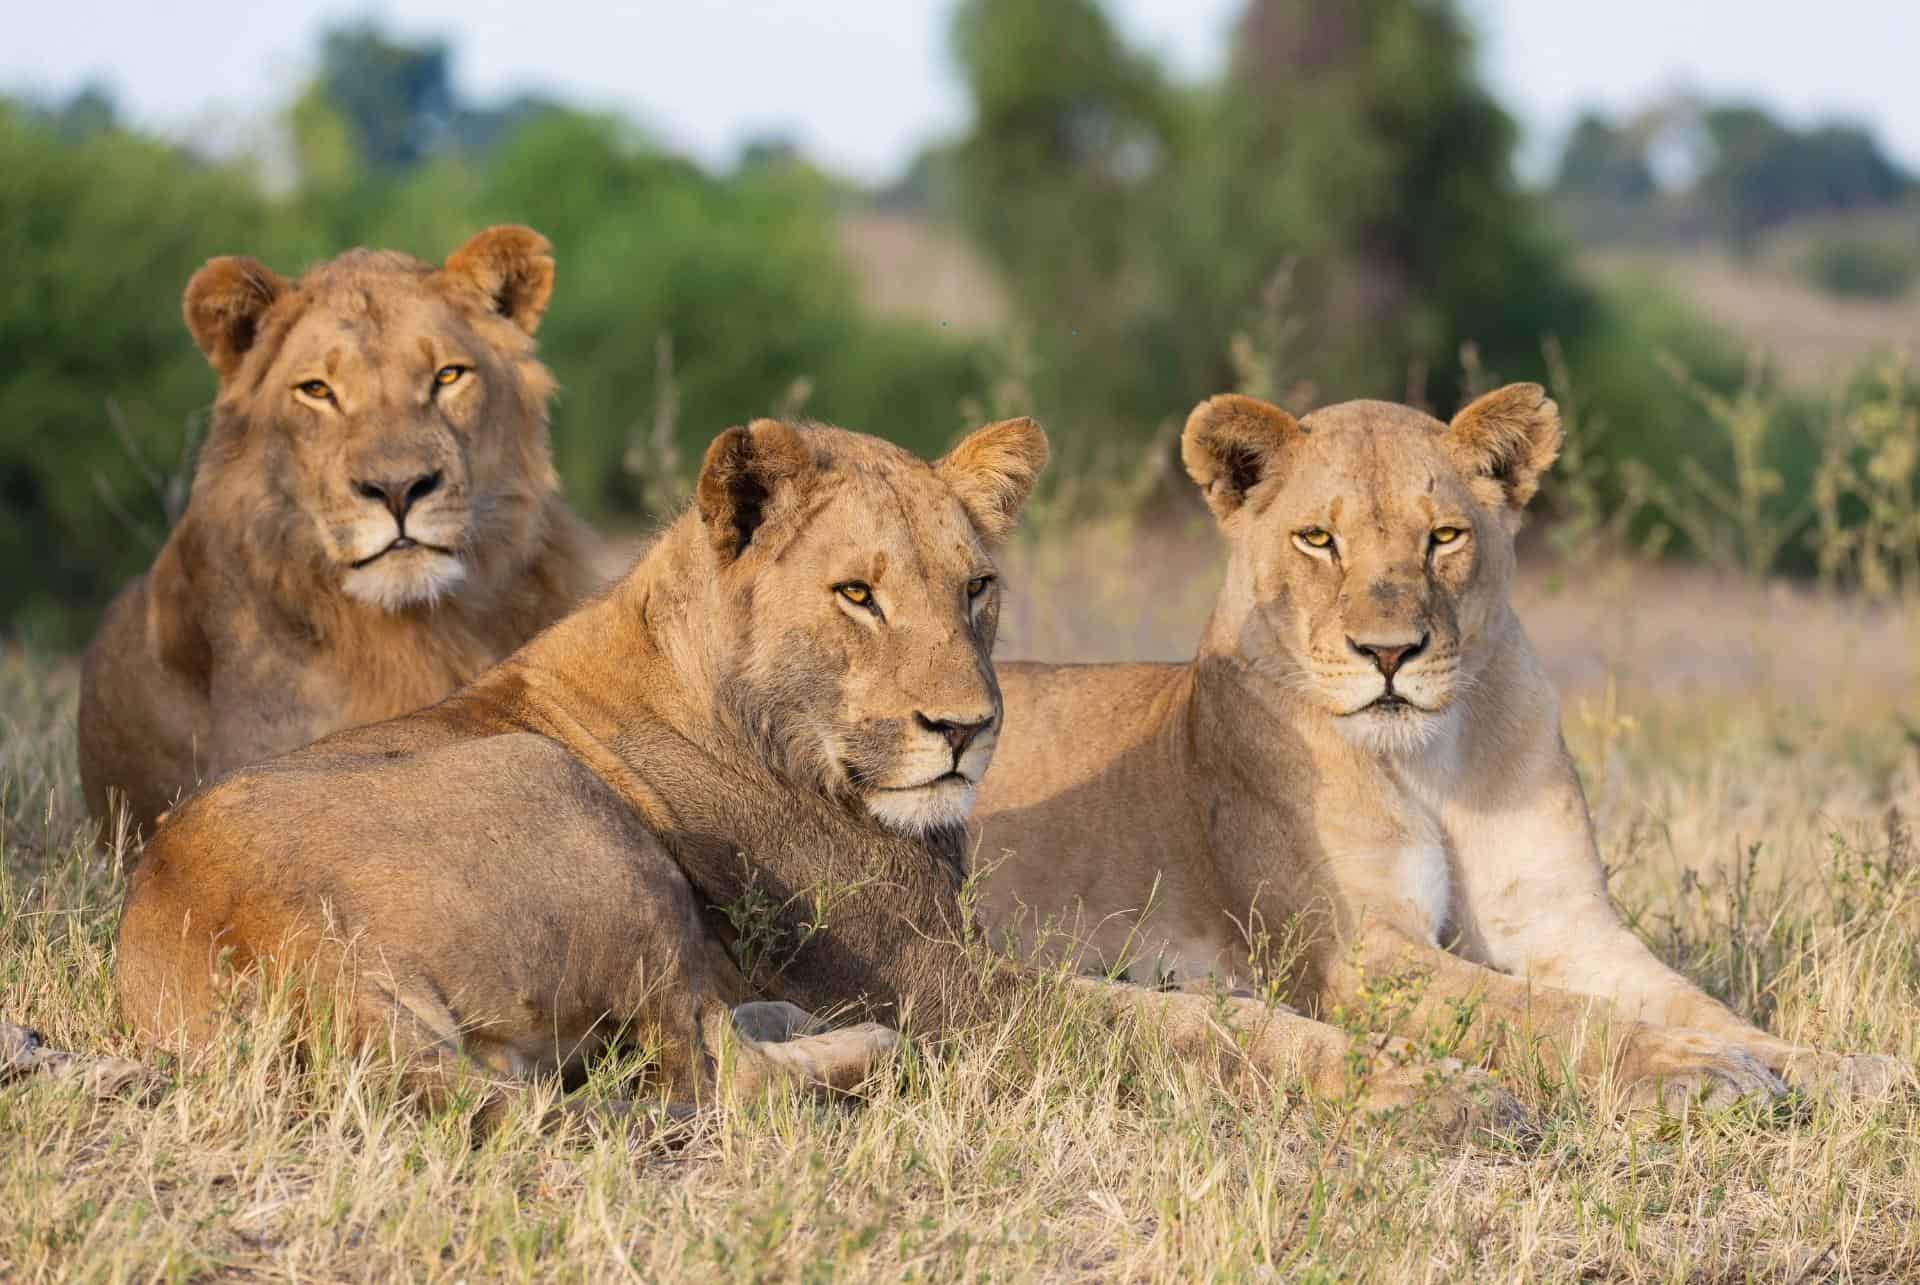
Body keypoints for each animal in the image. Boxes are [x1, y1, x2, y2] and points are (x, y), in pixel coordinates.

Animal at [112, 416, 1520, 1137]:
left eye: (977, 587)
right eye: (857, 595)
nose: (966, 730)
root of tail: (277, 934)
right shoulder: (955, 987)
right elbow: (1200, 1023)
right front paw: (1437, 1088)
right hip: (564, 804)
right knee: (708, 1074)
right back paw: (852, 1049)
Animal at [975, 386, 1904, 1106]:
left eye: (1443, 537)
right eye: (1318, 539)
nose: (1389, 653)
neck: (1432, 762)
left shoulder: (1565, 925)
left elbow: (1692, 1002)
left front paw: (1839, 1064)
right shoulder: (1362, 953)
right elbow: (1545, 1012)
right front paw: (1699, 1069)